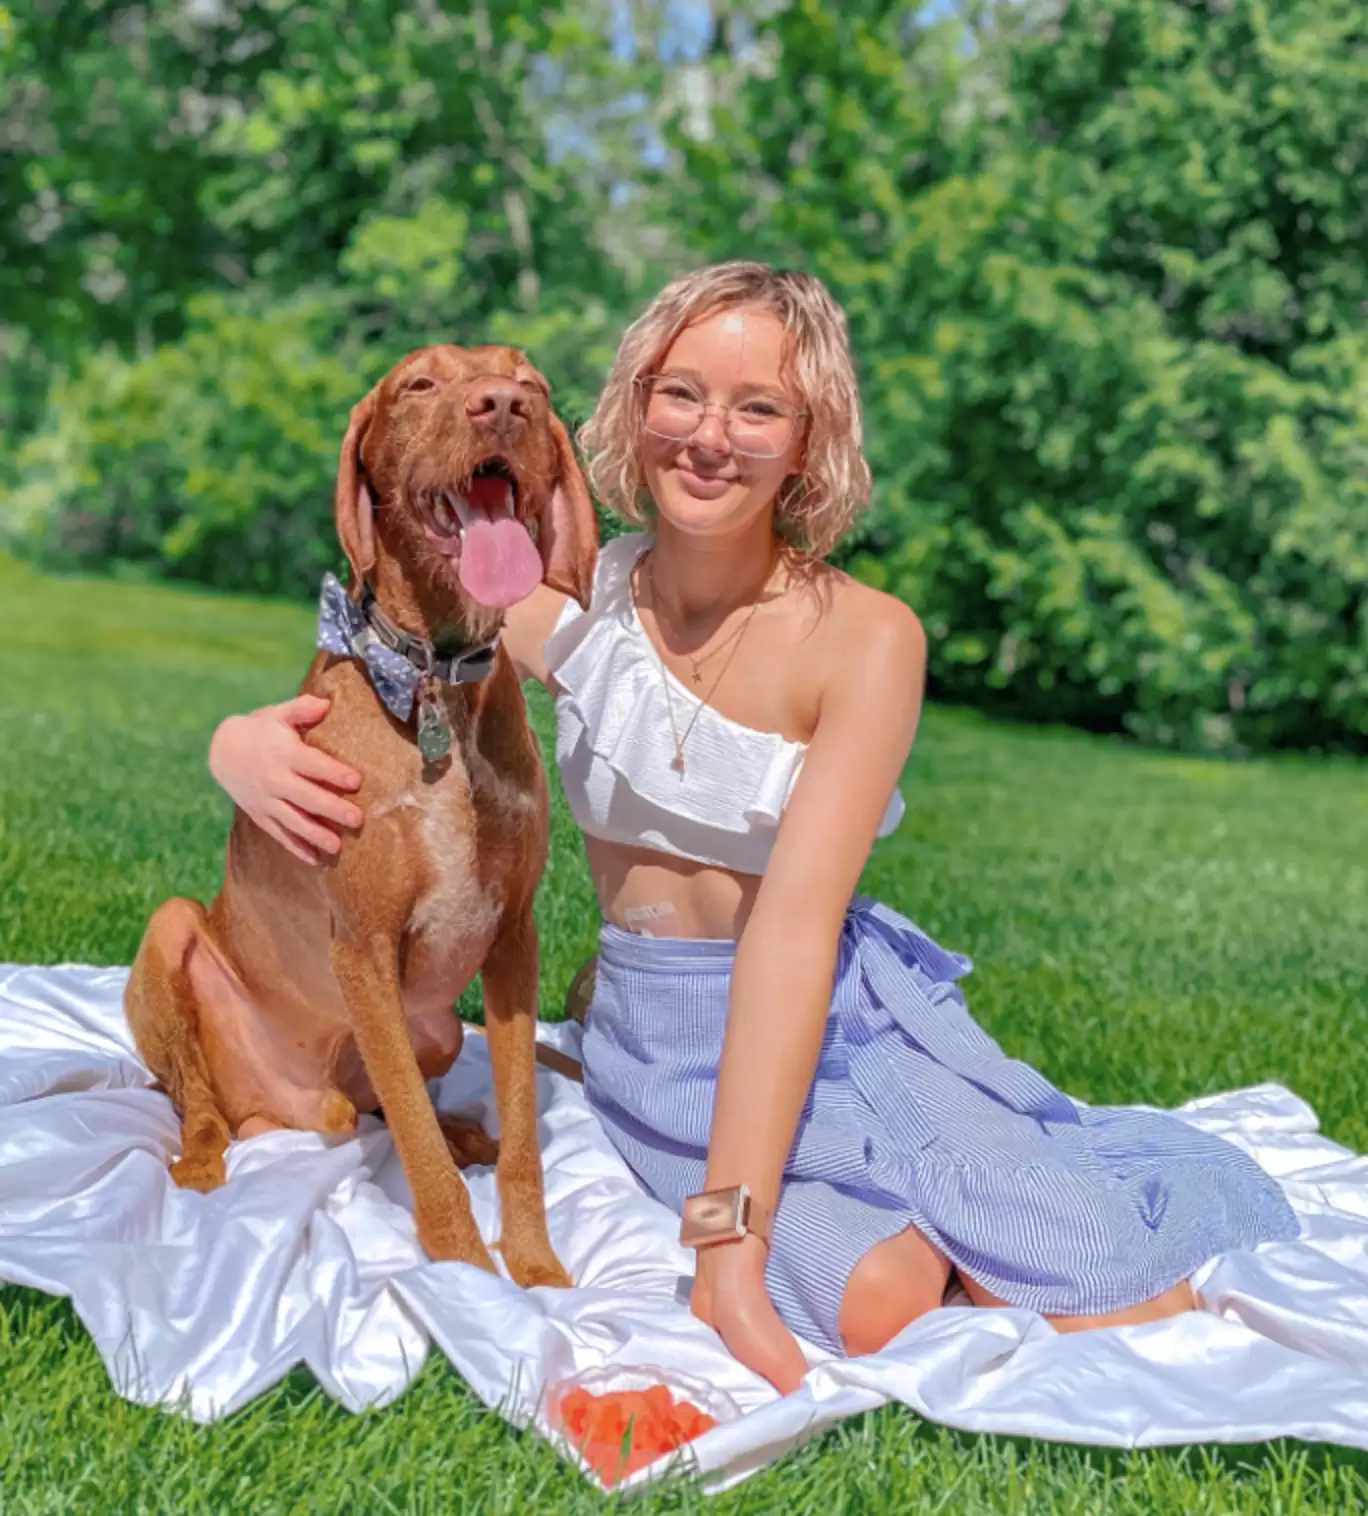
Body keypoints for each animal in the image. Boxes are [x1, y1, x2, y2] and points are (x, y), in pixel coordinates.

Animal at [125, 347, 597, 1291]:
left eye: (532, 382)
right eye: (420, 384)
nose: (505, 405)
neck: (436, 678)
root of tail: (294, 1115)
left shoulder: (514, 938)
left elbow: (518, 1130)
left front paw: (533, 1270)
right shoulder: (365, 947)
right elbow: (418, 1151)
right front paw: (465, 1274)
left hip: (439, 1028)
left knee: (389, 1109)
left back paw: (463, 1133)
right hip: (172, 936)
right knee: (200, 1103)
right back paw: (201, 1161)